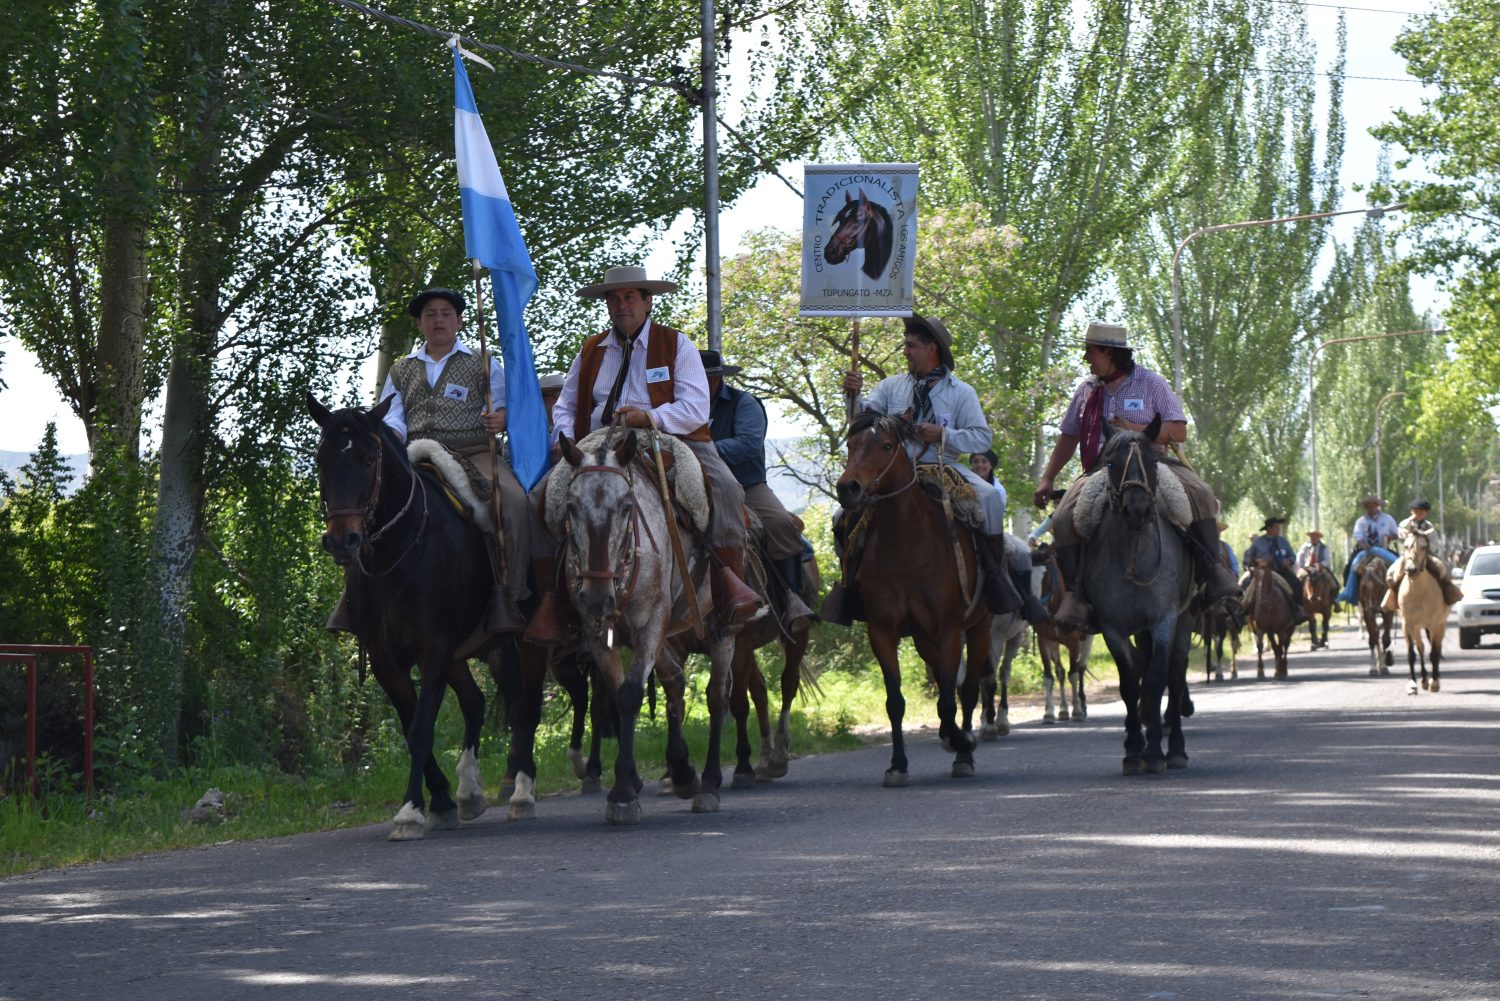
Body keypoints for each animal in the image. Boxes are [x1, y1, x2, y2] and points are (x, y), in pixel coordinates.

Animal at [304, 396, 546, 840]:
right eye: (321, 459)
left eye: (368, 460)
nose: (343, 541)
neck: (399, 553)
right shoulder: (386, 658)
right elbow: (410, 724)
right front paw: (442, 800)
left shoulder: (434, 648)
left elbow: (420, 728)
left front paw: (410, 811)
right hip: (469, 651)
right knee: (476, 702)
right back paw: (469, 791)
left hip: (526, 640)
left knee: (526, 704)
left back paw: (522, 791)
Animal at [828, 411, 990, 786]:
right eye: (851, 444)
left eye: (887, 445)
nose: (848, 488)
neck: (908, 548)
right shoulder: (883, 633)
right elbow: (896, 702)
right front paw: (897, 765)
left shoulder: (950, 632)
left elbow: (949, 702)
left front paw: (962, 742)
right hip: (922, 639)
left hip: (980, 629)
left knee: (968, 690)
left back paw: (963, 752)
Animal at [1080, 414, 1194, 774]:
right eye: (1111, 463)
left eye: (1152, 462)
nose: (1136, 510)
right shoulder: (1112, 627)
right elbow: (1130, 682)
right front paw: (1133, 750)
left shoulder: (1164, 621)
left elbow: (1157, 679)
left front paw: (1155, 753)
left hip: (1184, 621)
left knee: (1175, 673)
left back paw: (1176, 750)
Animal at [1398, 531, 1446, 696]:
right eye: (1406, 546)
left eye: (1424, 547)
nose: (1411, 569)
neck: (1418, 593)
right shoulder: (1407, 625)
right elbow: (1412, 653)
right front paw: (1412, 683)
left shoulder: (1434, 624)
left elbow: (1434, 653)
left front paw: (1435, 683)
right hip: (1418, 627)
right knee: (1421, 648)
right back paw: (1424, 680)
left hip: (1439, 625)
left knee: (1436, 647)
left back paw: (1433, 679)